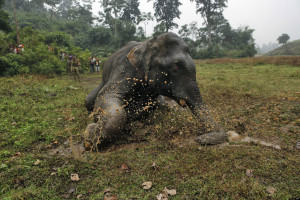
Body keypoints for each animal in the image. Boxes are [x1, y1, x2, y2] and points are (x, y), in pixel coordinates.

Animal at [83, 32, 226, 150]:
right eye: (175, 67)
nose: (199, 139)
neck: (148, 44)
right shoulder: (125, 68)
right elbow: (107, 95)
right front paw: (90, 133)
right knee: (89, 100)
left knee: (161, 102)